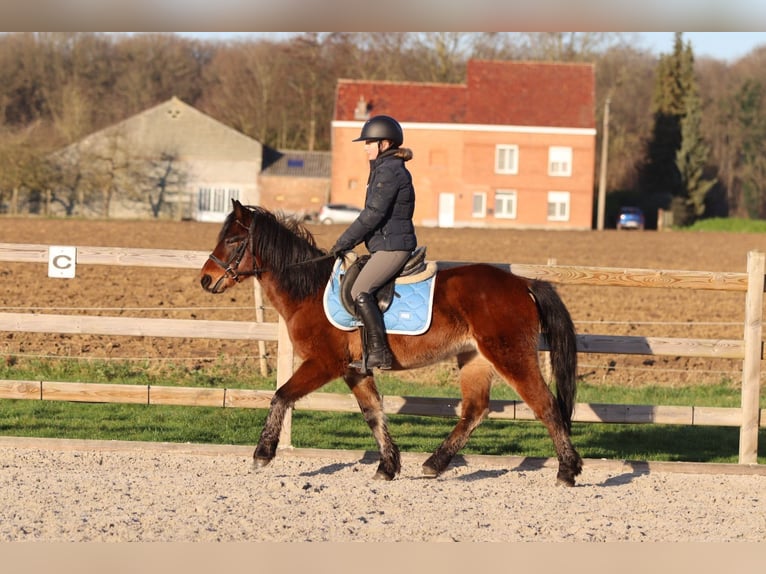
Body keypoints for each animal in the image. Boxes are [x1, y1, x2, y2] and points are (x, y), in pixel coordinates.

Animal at [199, 200, 583, 486]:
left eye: (233, 241)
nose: (205, 279)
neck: (308, 289)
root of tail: (522, 283)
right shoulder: (355, 370)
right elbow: (373, 413)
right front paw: (388, 466)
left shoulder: (324, 363)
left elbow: (281, 395)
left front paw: (262, 454)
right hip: (474, 358)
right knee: (475, 410)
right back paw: (434, 463)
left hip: (510, 355)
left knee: (546, 405)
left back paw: (567, 470)